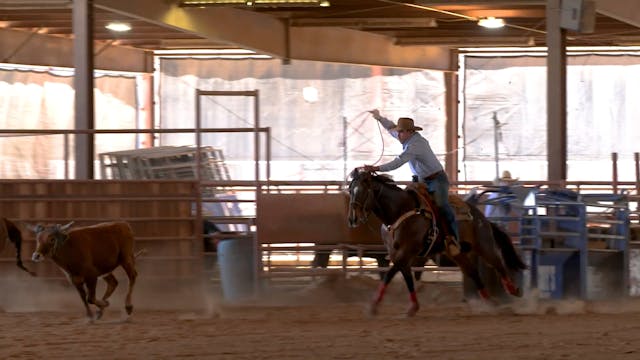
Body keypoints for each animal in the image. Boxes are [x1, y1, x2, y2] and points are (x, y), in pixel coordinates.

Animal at [348, 170, 528, 316]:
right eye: (350, 190)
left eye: (362, 191)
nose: (352, 219)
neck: (400, 211)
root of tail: (481, 217)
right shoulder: (398, 254)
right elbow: (407, 278)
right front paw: (413, 307)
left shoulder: (406, 252)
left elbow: (389, 275)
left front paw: (373, 306)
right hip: (457, 253)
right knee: (473, 272)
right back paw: (490, 303)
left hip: (484, 244)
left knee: (498, 263)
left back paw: (513, 290)